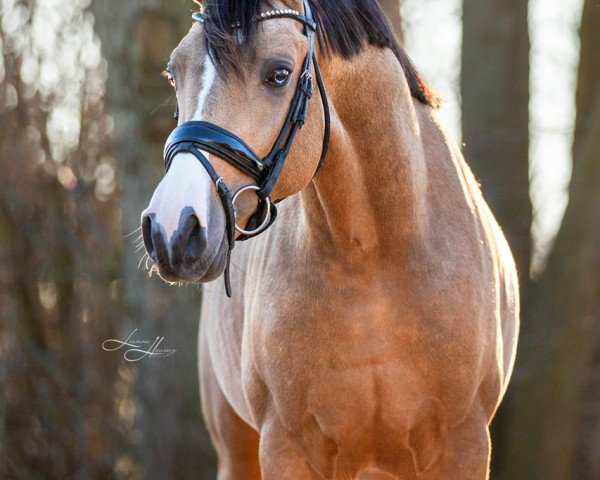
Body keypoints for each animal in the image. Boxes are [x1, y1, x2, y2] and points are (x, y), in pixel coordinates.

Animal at [141, 1, 520, 478]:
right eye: (174, 74)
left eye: (279, 74)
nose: (171, 229)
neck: (374, 257)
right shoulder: (286, 448)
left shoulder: (464, 444)